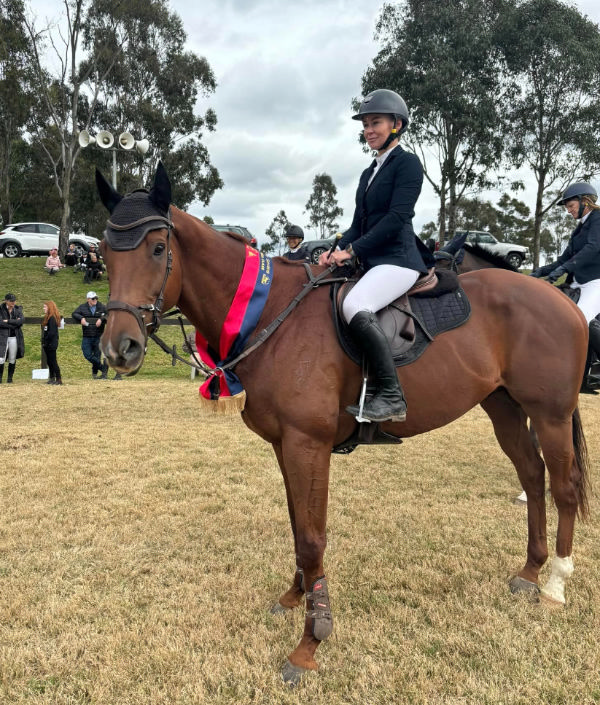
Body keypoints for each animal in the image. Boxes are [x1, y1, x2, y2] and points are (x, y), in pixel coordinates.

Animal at [97, 165, 592, 680]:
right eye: (104, 253)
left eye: (158, 249)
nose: (119, 349)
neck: (271, 312)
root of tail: (561, 299)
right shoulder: (284, 444)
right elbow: (297, 524)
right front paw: (296, 596)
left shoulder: (307, 443)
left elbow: (313, 537)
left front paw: (311, 641)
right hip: (504, 407)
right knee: (532, 475)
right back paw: (529, 572)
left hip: (550, 414)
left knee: (564, 487)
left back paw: (554, 585)